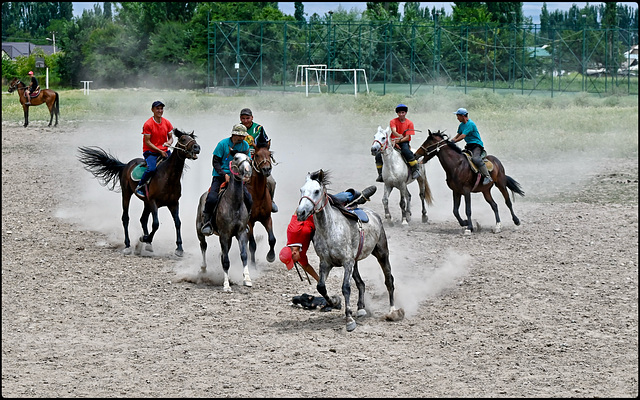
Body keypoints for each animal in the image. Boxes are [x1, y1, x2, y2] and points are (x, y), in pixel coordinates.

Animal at [79, 130, 201, 258]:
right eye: (183, 139)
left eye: (192, 138)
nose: (197, 147)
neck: (167, 177)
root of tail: (126, 165)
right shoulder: (153, 202)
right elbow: (156, 224)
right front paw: (144, 238)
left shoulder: (173, 203)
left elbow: (177, 223)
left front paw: (179, 248)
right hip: (127, 194)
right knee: (125, 218)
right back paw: (128, 245)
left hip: (146, 203)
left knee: (143, 220)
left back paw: (147, 245)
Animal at [196, 152, 254, 292]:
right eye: (236, 158)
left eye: (249, 159)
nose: (247, 171)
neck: (234, 204)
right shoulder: (224, 234)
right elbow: (226, 261)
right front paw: (226, 285)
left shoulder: (240, 233)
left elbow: (244, 255)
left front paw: (247, 279)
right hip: (199, 230)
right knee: (203, 245)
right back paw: (203, 268)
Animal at [296, 169, 404, 332]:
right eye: (301, 190)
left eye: (316, 191)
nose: (301, 212)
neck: (329, 230)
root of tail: (374, 215)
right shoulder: (325, 263)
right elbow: (321, 286)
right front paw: (334, 302)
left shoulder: (347, 262)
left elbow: (346, 288)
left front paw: (349, 319)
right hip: (356, 262)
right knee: (361, 283)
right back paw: (361, 308)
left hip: (381, 253)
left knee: (389, 280)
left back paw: (392, 311)